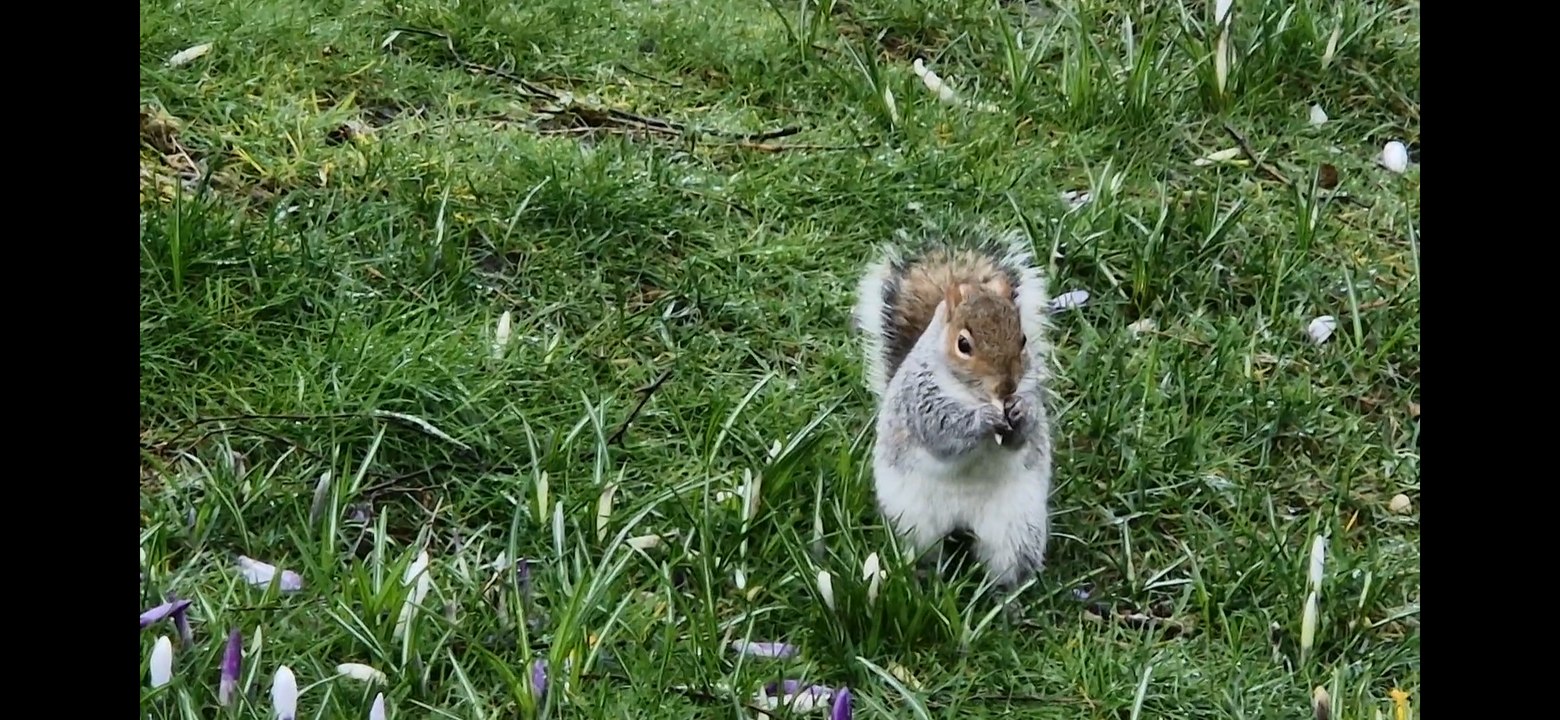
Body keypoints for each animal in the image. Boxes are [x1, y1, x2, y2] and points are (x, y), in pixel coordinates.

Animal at [851, 224, 1054, 589]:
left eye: (1023, 340)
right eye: (963, 344)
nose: (1007, 387)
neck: (973, 395)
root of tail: (962, 522)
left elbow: (1025, 434)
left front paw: (1019, 414)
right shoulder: (920, 400)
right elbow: (943, 432)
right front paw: (983, 419)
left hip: (1016, 531)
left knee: (1007, 566)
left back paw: (1006, 597)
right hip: (915, 523)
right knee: (925, 552)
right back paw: (923, 577)